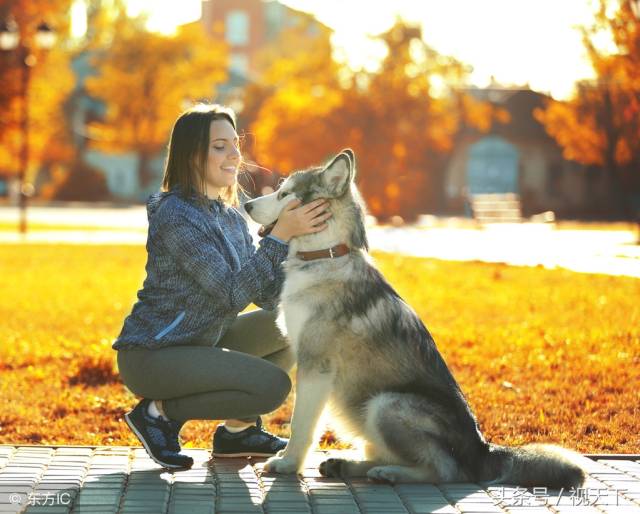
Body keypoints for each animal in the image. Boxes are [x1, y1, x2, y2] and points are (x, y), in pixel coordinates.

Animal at [242, 149, 588, 484]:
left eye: (284, 193)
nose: (246, 204)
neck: (325, 256)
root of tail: (483, 449)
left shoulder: (316, 364)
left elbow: (301, 424)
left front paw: (288, 463)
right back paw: (348, 466)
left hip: (386, 404)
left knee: (444, 470)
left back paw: (389, 474)